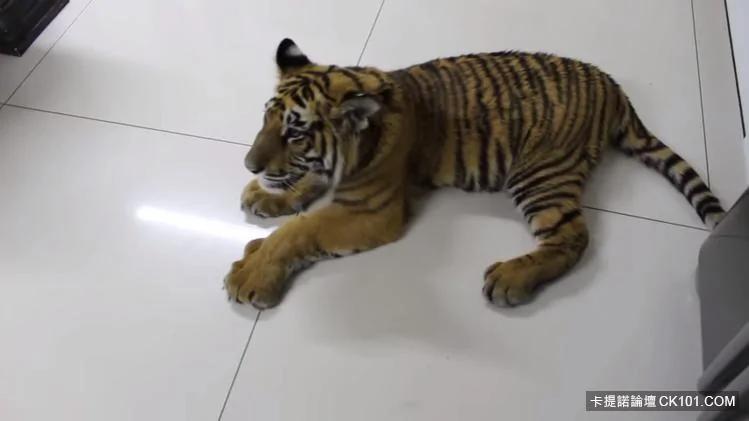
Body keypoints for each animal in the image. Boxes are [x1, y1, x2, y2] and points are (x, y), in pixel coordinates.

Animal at [224, 38, 725, 309]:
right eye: (266, 119)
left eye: (295, 133)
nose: (249, 165)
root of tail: (612, 86)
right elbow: (305, 187)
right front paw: (266, 195)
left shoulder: (372, 212)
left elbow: (298, 231)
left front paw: (250, 274)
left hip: (539, 173)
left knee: (574, 238)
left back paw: (510, 279)